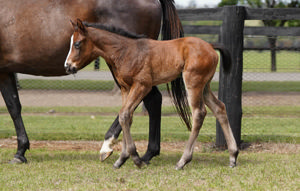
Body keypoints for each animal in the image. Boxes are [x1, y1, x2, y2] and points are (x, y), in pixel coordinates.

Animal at [0, 0, 183, 164]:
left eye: (77, 44)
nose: (67, 65)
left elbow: (12, 107)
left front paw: (20, 152)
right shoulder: (6, 71)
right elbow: (14, 106)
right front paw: (21, 150)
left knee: (145, 101)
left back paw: (113, 147)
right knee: (150, 101)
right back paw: (148, 152)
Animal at [65, 18, 239, 169]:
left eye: (77, 44)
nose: (68, 66)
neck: (125, 51)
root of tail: (210, 46)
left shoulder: (143, 85)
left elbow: (125, 114)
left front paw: (136, 159)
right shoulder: (125, 88)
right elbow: (126, 117)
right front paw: (122, 159)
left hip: (193, 83)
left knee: (199, 113)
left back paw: (183, 160)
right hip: (204, 87)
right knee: (220, 108)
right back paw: (233, 156)